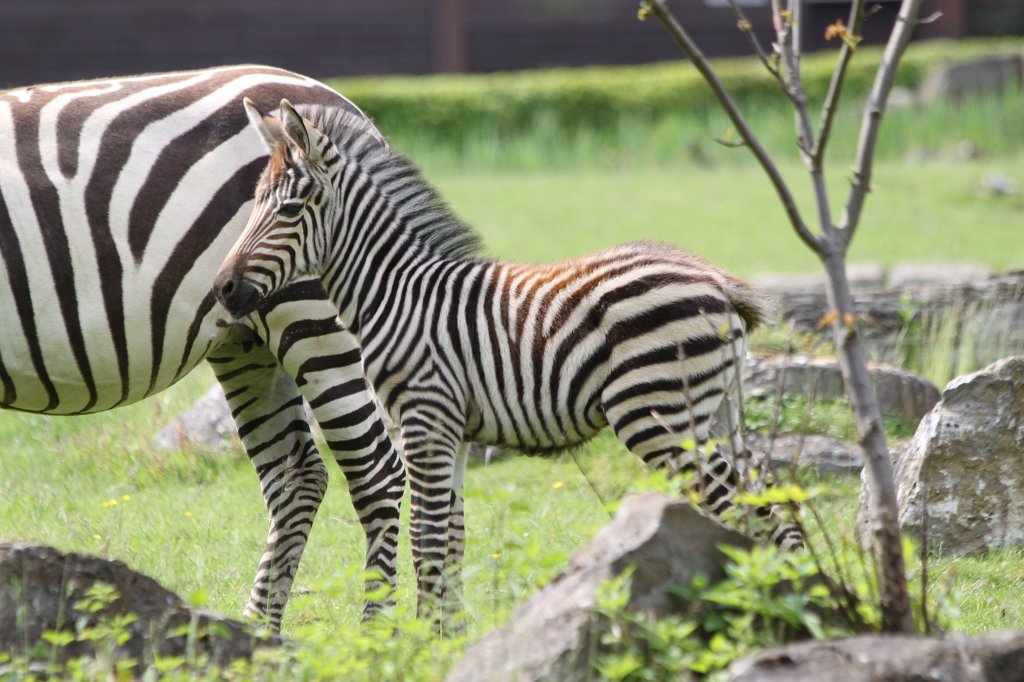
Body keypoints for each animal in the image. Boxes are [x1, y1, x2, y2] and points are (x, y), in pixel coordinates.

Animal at [0, 66, 406, 631]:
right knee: (296, 475)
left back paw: (376, 634)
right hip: (246, 339)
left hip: (308, 312)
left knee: (376, 470)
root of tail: (340, 103)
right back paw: (257, 634)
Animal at [215, 99, 804, 626]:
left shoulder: (425, 417)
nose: (222, 289)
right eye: (254, 202)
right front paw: (447, 637)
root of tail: (719, 283)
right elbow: (451, 539)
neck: (398, 291)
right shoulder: (448, 429)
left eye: (290, 210)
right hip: (716, 415)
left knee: (750, 511)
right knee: (773, 506)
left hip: (661, 416)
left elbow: (426, 538)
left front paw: (418, 643)